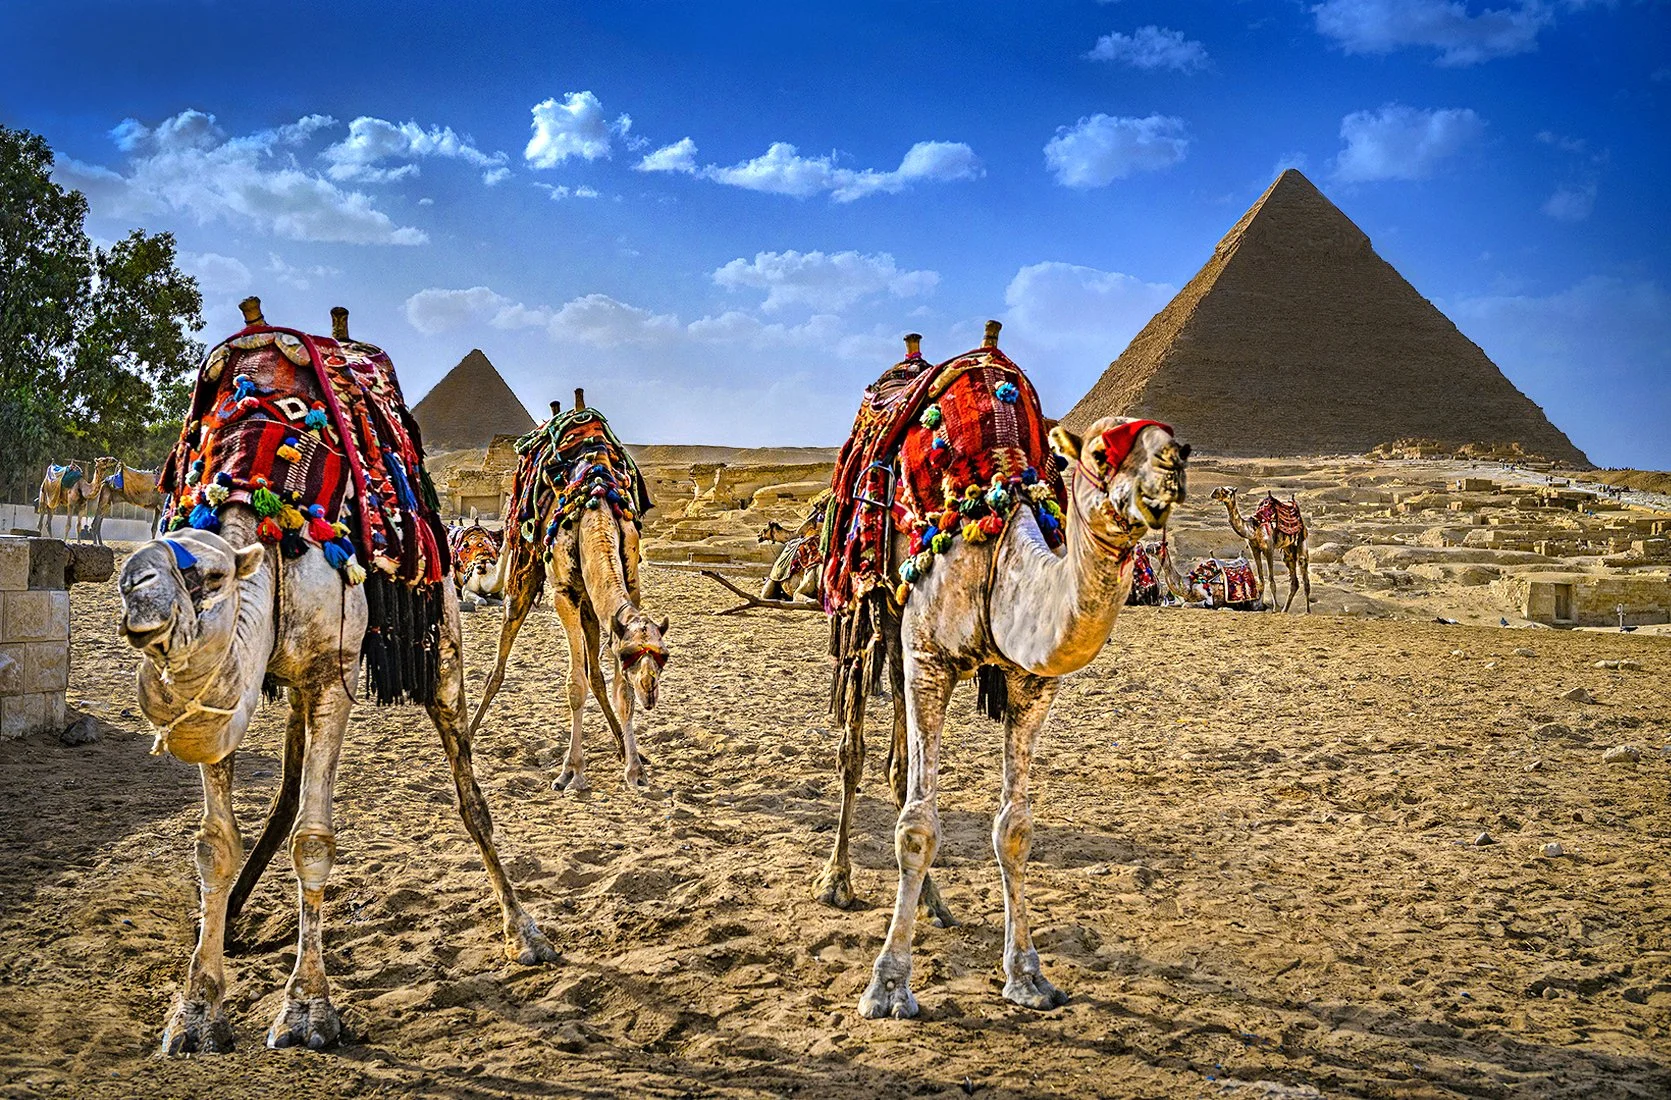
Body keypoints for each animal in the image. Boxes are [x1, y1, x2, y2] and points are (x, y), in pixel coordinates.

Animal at [118, 301, 555, 1055]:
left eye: (206, 578)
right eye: (132, 569)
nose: (139, 606)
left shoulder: (330, 677)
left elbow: (315, 841)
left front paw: (307, 1011)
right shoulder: (235, 696)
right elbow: (214, 845)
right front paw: (195, 1010)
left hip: (440, 649)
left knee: (469, 794)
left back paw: (523, 932)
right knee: (286, 790)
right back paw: (237, 922)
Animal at [470, 397, 667, 793]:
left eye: (664, 656)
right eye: (629, 655)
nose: (650, 690)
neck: (596, 512)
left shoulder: (629, 589)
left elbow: (618, 689)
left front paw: (635, 769)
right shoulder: (564, 594)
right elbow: (575, 685)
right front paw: (571, 772)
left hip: (591, 605)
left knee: (596, 676)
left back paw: (620, 746)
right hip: (524, 572)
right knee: (500, 661)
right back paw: (465, 738)